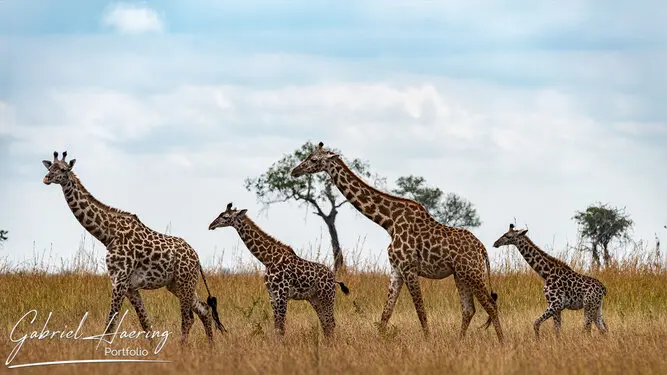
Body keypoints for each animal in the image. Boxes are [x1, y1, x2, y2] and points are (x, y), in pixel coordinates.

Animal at [41, 151, 226, 346]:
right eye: (50, 167)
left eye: (63, 169)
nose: (46, 178)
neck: (108, 235)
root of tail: (197, 258)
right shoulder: (130, 287)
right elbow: (145, 322)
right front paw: (154, 350)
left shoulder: (120, 280)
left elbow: (111, 323)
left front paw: (101, 350)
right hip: (176, 284)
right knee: (204, 310)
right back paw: (211, 347)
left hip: (185, 282)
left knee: (189, 317)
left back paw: (183, 349)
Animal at [209, 204, 350, 340]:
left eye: (225, 216)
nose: (211, 225)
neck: (267, 259)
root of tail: (334, 278)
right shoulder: (272, 295)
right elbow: (276, 326)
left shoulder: (282, 294)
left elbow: (281, 328)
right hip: (315, 298)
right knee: (325, 323)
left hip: (327, 296)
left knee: (330, 322)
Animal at [290, 142, 504, 342]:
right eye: (308, 156)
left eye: (314, 160)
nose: (295, 171)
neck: (389, 222)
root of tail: (482, 249)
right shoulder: (396, 270)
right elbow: (385, 314)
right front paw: (379, 342)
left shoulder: (409, 267)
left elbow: (420, 311)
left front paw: (428, 341)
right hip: (460, 275)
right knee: (469, 309)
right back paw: (459, 342)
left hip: (472, 272)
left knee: (491, 305)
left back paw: (502, 342)